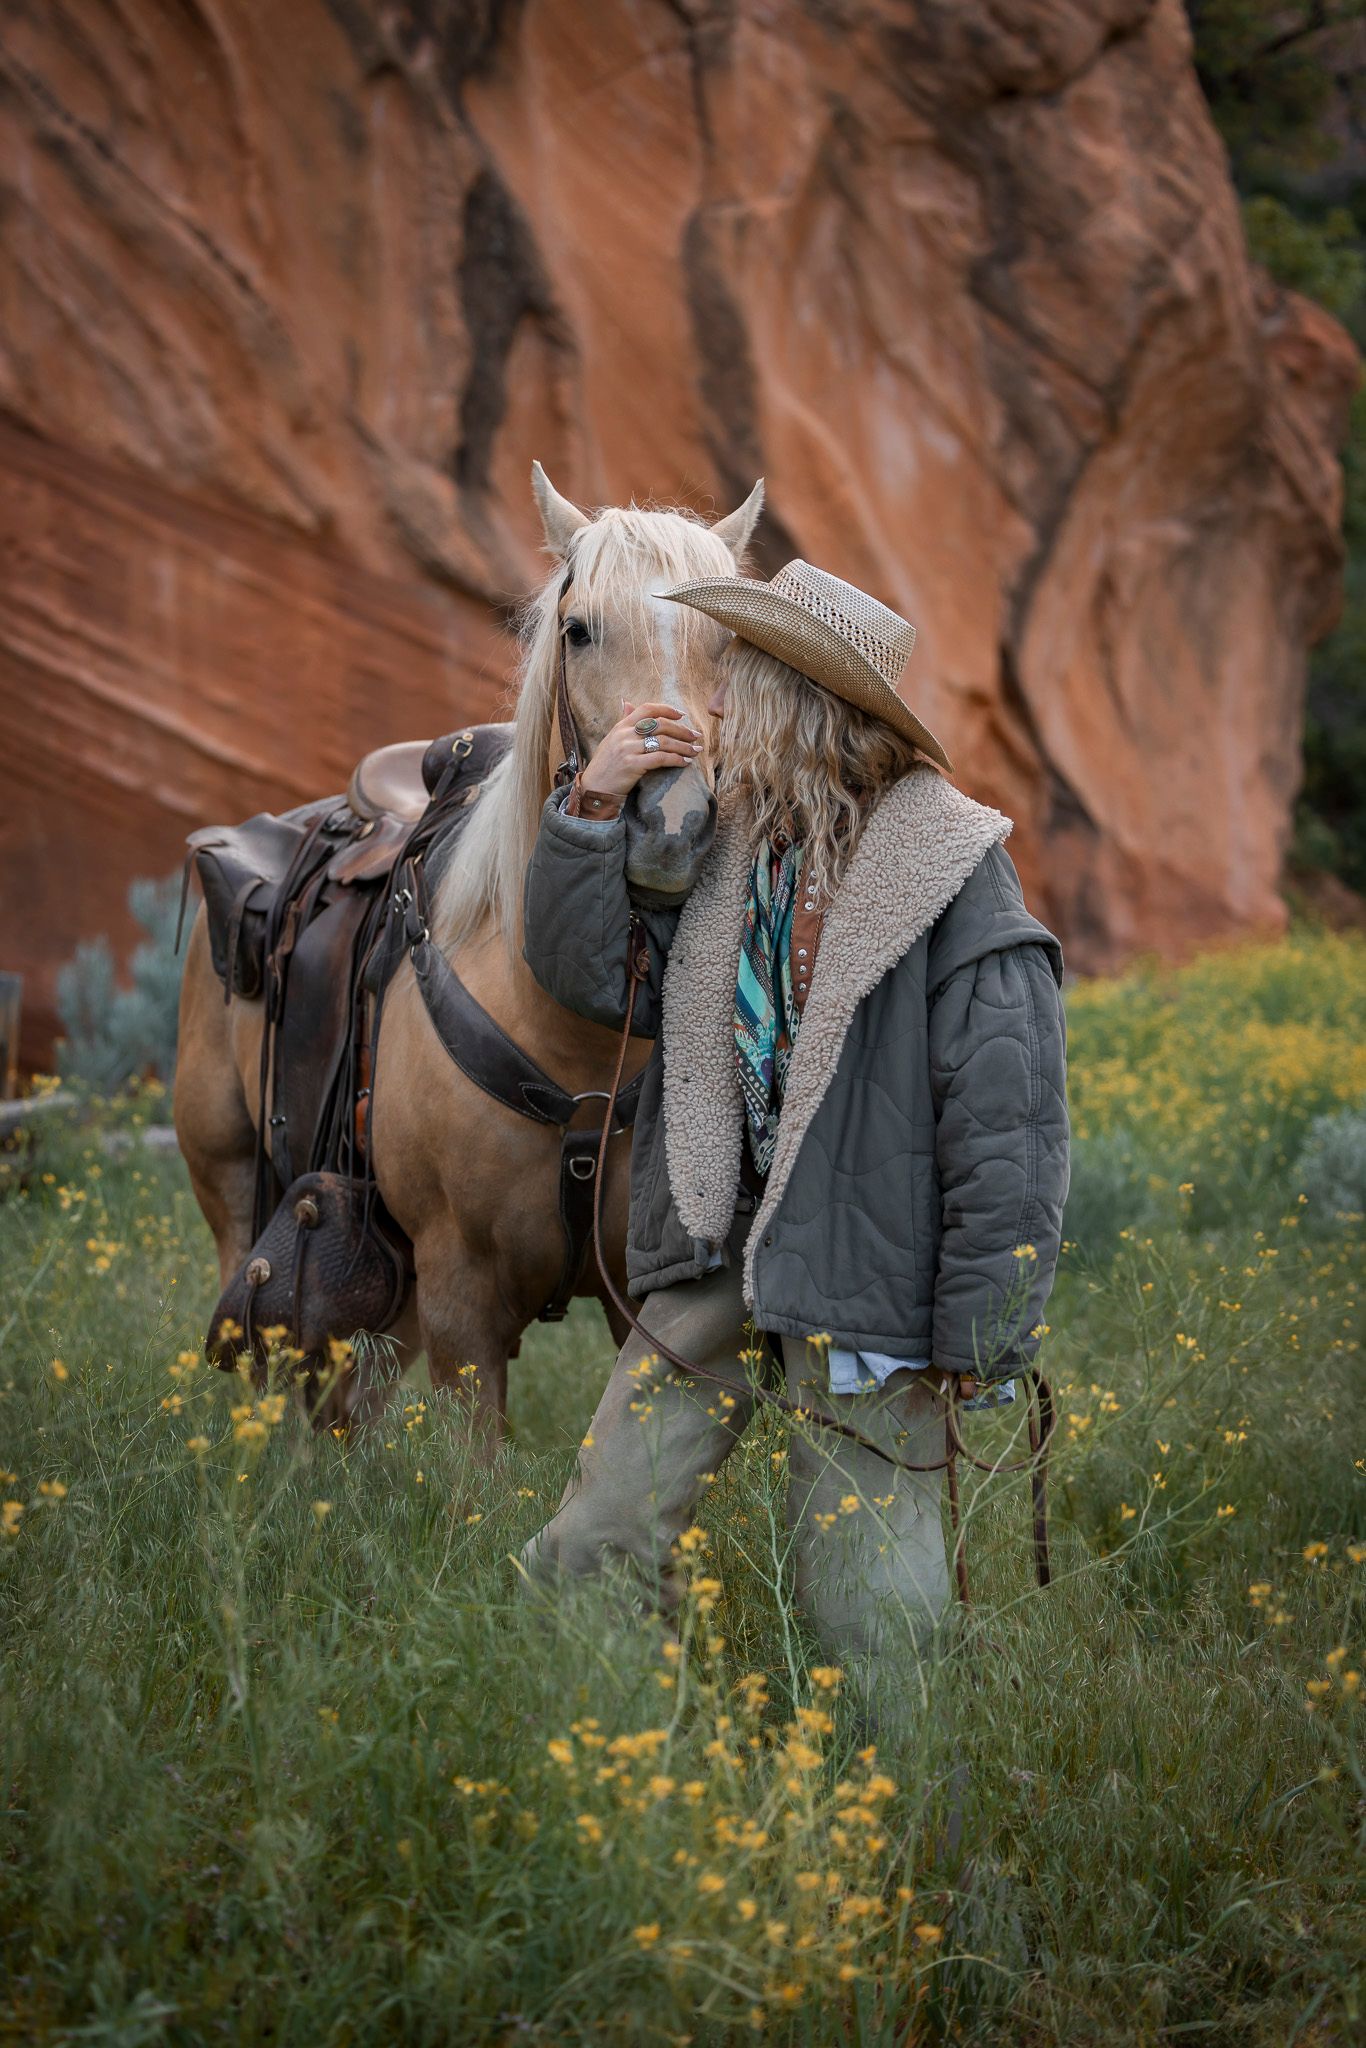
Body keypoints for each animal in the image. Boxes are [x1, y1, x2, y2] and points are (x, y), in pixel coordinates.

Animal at [173, 464, 763, 1438]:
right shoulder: (462, 1298)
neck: (566, 1034)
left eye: (734, 642)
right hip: (230, 1189)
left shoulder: (635, 1296)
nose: (674, 822)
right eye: (578, 628)